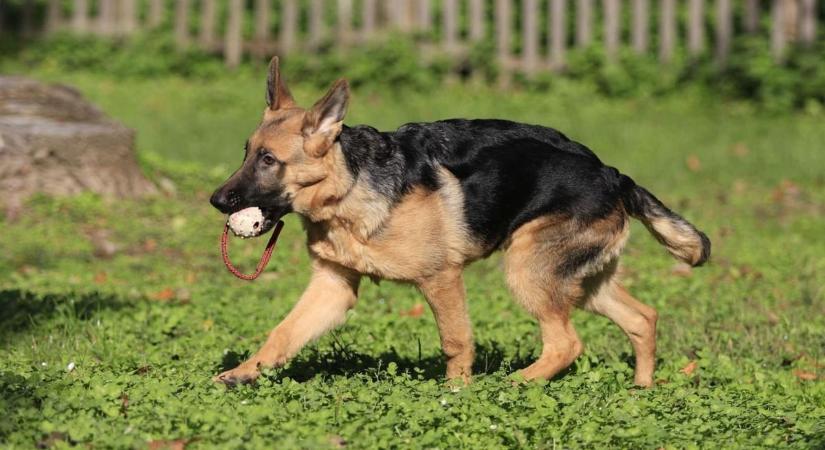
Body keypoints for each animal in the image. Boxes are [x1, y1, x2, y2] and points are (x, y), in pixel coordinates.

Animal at [211, 56, 708, 386]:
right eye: (245, 153)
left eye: (269, 160)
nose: (216, 200)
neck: (349, 187)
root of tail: (612, 174)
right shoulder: (333, 287)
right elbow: (283, 332)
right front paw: (241, 373)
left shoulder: (442, 278)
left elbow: (455, 342)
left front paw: (455, 395)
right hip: (581, 281)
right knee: (642, 318)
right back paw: (641, 391)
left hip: (527, 270)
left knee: (566, 343)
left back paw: (515, 385)